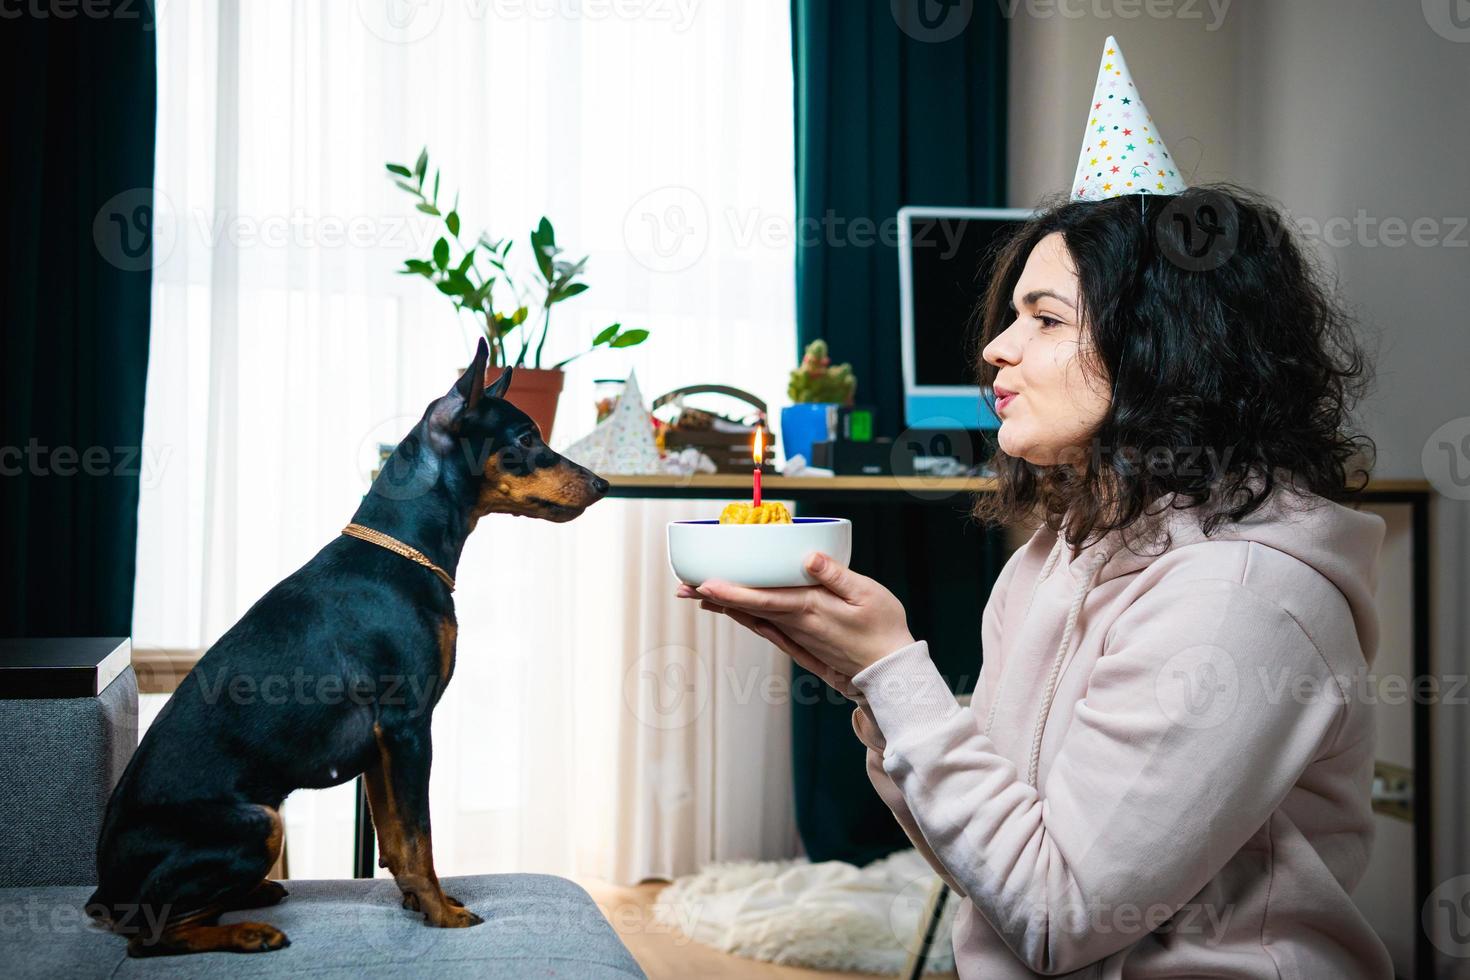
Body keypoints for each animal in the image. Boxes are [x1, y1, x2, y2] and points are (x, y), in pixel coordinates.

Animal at [87, 340, 608, 952]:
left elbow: (397, 840)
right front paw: (442, 915)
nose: (601, 484)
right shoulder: (408, 725)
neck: (401, 552)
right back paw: (248, 932)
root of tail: (100, 893)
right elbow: (419, 837)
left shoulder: (382, 746)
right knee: (150, 936)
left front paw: (420, 902)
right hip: (260, 821)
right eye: (525, 439)